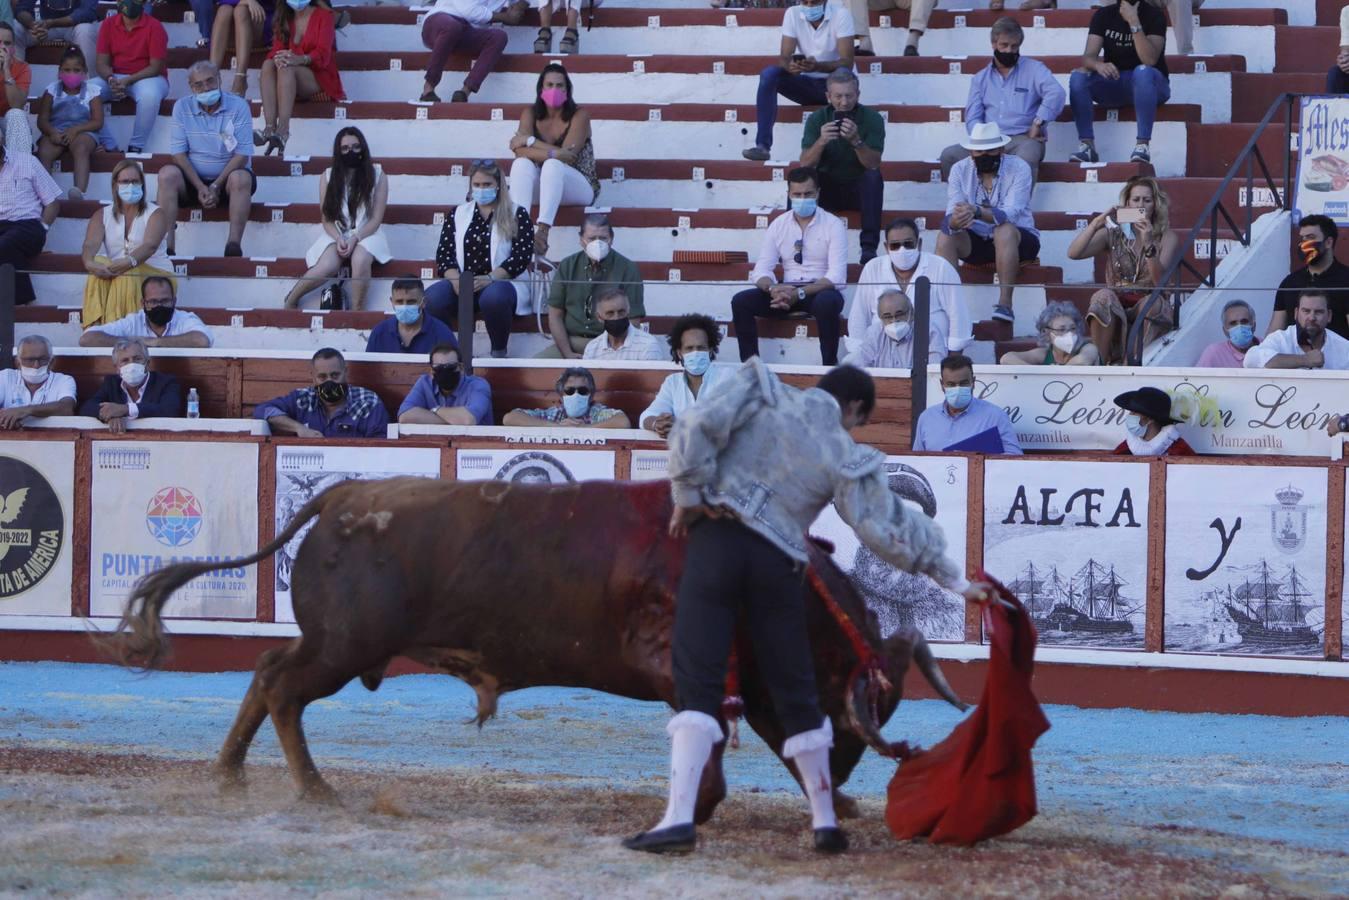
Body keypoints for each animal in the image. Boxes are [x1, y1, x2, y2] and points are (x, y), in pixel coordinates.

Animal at [107, 477, 971, 825]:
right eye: (860, 698)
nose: (848, 780)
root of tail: (344, 493)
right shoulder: (684, 668)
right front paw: (700, 805)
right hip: (345, 646)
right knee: (284, 688)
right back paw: (314, 789)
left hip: (331, 641)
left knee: (264, 672)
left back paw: (228, 773)